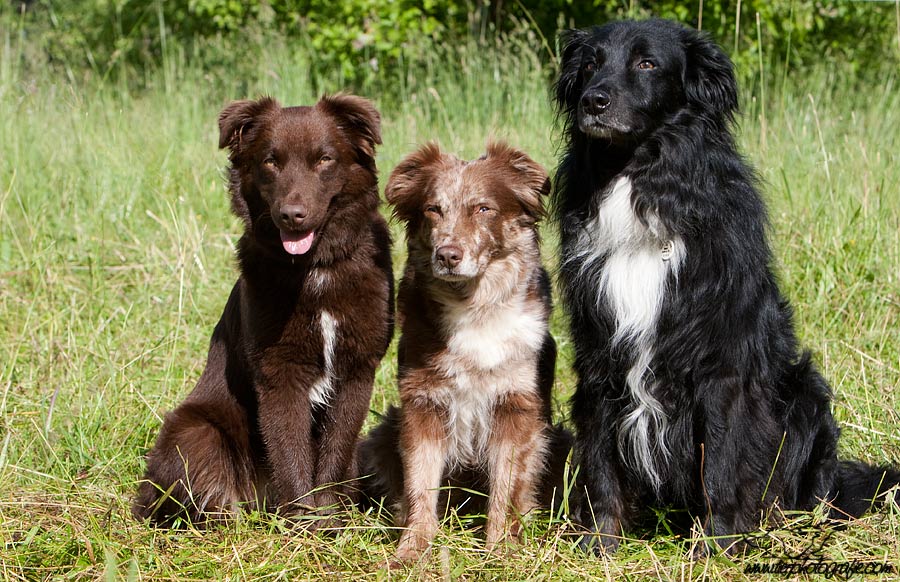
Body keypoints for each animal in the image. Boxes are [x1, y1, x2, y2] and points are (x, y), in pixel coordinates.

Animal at [132, 94, 392, 524]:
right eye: (271, 161)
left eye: (325, 159)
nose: (292, 215)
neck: (314, 268)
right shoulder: (278, 372)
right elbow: (289, 451)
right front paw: (303, 522)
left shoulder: (356, 368)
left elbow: (335, 451)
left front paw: (329, 518)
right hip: (194, 431)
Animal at [358, 141, 568, 560]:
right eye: (432, 209)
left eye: (484, 208)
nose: (448, 254)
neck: (473, 305)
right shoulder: (422, 402)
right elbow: (420, 482)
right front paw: (413, 549)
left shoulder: (515, 405)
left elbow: (506, 485)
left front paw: (501, 550)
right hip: (383, 431)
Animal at [552, 19, 896, 556]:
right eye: (590, 64)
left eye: (647, 63)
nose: (594, 101)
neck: (640, 178)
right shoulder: (598, 349)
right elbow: (600, 451)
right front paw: (600, 541)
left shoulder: (723, 361)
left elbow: (722, 454)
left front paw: (719, 544)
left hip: (805, 393)